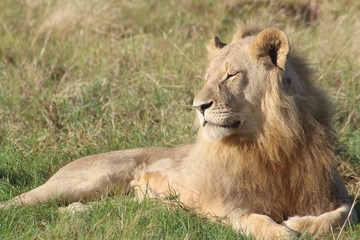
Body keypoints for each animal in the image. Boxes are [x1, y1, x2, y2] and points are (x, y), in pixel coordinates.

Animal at [1, 25, 358, 239]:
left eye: (231, 76)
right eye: (207, 77)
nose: (198, 107)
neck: (270, 142)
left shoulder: (336, 193)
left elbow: (343, 214)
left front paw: (301, 222)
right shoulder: (226, 204)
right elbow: (254, 220)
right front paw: (285, 230)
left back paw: (81, 214)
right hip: (87, 179)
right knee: (20, 202)